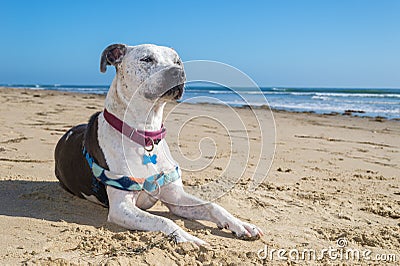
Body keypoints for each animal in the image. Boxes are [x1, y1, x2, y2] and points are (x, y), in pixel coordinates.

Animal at [54, 43, 264, 245]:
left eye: (177, 61)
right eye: (147, 59)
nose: (178, 72)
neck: (145, 135)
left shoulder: (175, 197)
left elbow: (212, 205)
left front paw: (240, 224)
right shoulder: (121, 208)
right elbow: (163, 220)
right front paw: (187, 238)